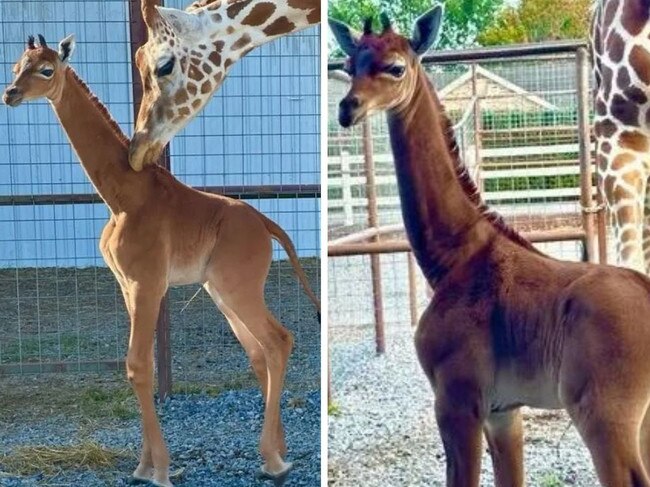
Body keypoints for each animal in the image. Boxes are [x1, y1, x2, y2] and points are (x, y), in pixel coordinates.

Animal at [334, 7, 650, 487]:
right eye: (350, 65)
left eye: (395, 67)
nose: (347, 109)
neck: (456, 258)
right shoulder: (504, 411)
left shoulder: (458, 400)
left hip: (603, 416)